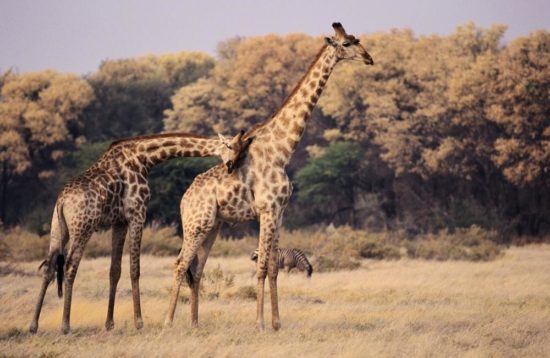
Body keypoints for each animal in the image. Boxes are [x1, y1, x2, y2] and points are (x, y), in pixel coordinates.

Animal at [29, 130, 252, 334]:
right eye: (232, 147)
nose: (231, 166)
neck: (144, 158)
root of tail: (61, 201)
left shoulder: (119, 222)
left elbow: (115, 270)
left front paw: (109, 324)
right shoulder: (137, 213)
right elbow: (134, 269)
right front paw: (139, 322)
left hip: (58, 229)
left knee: (49, 268)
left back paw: (33, 325)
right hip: (83, 228)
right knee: (69, 266)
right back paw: (65, 325)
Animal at [165, 21, 376, 330]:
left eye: (356, 39)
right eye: (347, 44)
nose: (369, 58)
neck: (282, 150)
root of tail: (183, 199)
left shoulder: (280, 212)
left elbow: (275, 266)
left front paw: (277, 323)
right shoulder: (266, 210)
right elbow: (262, 266)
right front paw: (260, 323)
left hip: (212, 226)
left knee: (198, 269)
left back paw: (194, 324)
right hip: (196, 224)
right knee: (180, 264)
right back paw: (168, 322)